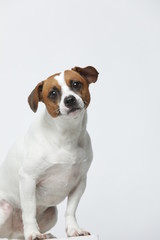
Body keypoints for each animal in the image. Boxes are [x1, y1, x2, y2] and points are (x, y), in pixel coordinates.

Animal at [0, 65, 99, 240]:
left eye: (76, 84)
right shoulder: (28, 179)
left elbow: (71, 210)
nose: (69, 100)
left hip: (52, 213)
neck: (65, 135)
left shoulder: (80, 182)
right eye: (53, 93)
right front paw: (33, 233)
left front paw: (74, 230)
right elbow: (29, 211)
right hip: (4, 209)